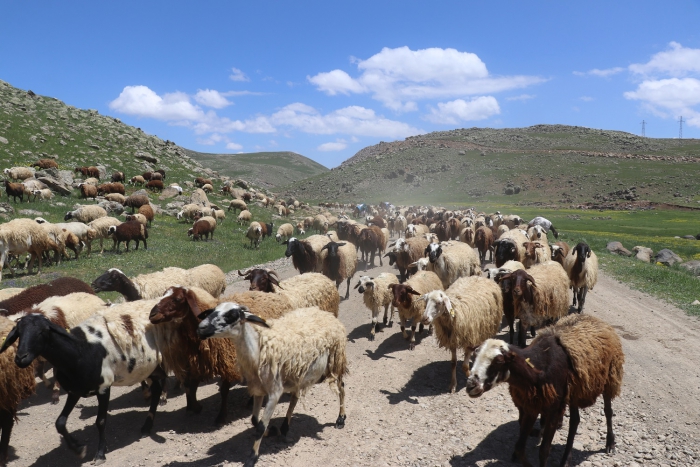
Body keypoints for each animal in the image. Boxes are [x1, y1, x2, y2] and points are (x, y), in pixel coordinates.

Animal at [0, 300, 167, 465]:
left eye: (43, 331)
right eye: (18, 333)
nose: (21, 358)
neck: (79, 351)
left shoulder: (104, 387)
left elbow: (100, 421)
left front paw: (100, 454)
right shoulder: (75, 390)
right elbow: (60, 422)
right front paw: (78, 449)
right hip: (152, 369)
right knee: (157, 390)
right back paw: (147, 426)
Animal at [148, 286, 240, 425]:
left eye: (178, 299)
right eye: (164, 294)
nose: (152, 315)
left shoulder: (226, 361)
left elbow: (224, 391)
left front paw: (221, 416)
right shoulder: (196, 363)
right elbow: (191, 388)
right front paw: (195, 407)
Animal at [197, 304, 348, 466]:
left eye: (231, 315)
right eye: (212, 311)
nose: (200, 328)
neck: (259, 348)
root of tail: (323, 312)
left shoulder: (274, 392)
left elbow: (260, 426)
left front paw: (252, 457)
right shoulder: (259, 390)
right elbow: (254, 420)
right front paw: (272, 430)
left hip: (336, 360)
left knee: (341, 387)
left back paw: (340, 418)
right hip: (298, 375)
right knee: (294, 398)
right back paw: (284, 428)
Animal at [466, 314, 624, 467]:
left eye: (499, 361)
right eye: (474, 356)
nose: (471, 385)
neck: (538, 366)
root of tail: (599, 321)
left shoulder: (554, 409)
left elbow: (544, 450)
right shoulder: (532, 406)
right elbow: (519, 448)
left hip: (610, 377)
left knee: (608, 411)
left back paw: (610, 444)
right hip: (575, 390)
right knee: (575, 420)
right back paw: (566, 460)